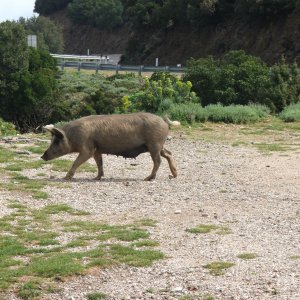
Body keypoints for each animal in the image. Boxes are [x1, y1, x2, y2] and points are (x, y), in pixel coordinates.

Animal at [40, 112, 178, 180]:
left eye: (56, 141)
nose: (42, 156)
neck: (72, 136)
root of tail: (163, 121)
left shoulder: (87, 148)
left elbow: (77, 161)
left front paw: (66, 177)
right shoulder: (97, 149)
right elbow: (99, 163)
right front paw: (96, 178)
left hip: (154, 144)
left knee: (158, 160)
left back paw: (148, 178)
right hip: (158, 145)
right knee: (169, 154)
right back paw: (173, 175)